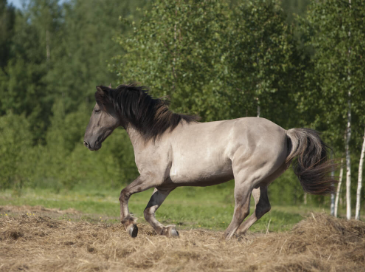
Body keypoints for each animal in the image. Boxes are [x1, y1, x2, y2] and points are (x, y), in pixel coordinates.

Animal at [82, 84, 336, 239]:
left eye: (96, 110)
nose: (88, 142)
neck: (155, 134)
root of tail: (285, 133)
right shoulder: (165, 184)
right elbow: (148, 211)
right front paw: (169, 231)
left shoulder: (151, 177)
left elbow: (124, 193)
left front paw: (130, 226)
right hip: (260, 181)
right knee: (262, 207)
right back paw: (239, 235)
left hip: (245, 178)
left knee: (242, 209)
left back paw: (226, 236)